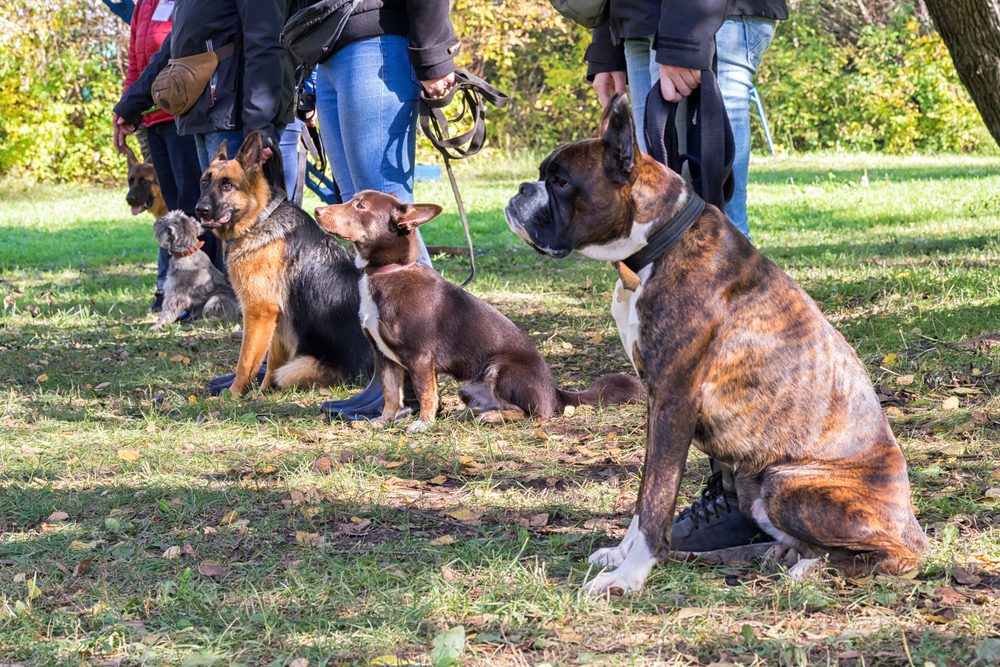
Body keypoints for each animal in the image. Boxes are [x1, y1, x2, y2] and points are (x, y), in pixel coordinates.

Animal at [193, 130, 370, 394]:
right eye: (205, 181)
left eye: (227, 185)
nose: (200, 209)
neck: (259, 220)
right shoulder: (276, 319)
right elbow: (272, 361)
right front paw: (262, 392)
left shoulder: (259, 312)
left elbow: (246, 362)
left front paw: (232, 394)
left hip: (298, 367)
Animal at [312, 190, 640, 436]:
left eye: (359, 206)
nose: (316, 209)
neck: (387, 272)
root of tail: (556, 392)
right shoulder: (386, 358)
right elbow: (392, 395)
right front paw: (383, 421)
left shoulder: (420, 358)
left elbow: (425, 393)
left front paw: (423, 423)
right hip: (468, 387)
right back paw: (471, 414)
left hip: (502, 369)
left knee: (532, 414)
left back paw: (492, 417)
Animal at [508, 95, 928, 596]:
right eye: (543, 175)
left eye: (561, 182)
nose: (521, 190)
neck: (657, 246)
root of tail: (912, 524)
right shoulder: (655, 404)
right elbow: (645, 493)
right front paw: (621, 555)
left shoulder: (674, 403)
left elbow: (657, 499)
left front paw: (629, 577)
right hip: (754, 487)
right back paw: (775, 556)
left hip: (787, 483)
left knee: (893, 558)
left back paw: (812, 569)